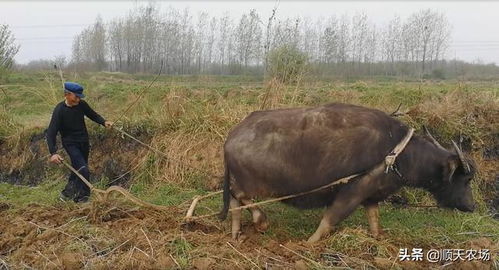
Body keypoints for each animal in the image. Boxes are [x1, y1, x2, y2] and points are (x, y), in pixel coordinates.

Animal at [219, 102, 476, 242]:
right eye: (465, 179)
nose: (472, 206)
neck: (396, 153)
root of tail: (231, 136)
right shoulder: (353, 190)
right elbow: (329, 220)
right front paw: (309, 243)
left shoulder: (371, 195)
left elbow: (374, 219)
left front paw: (377, 238)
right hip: (249, 183)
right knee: (240, 197)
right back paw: (260, 221)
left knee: (234, 203)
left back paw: (236, 234)